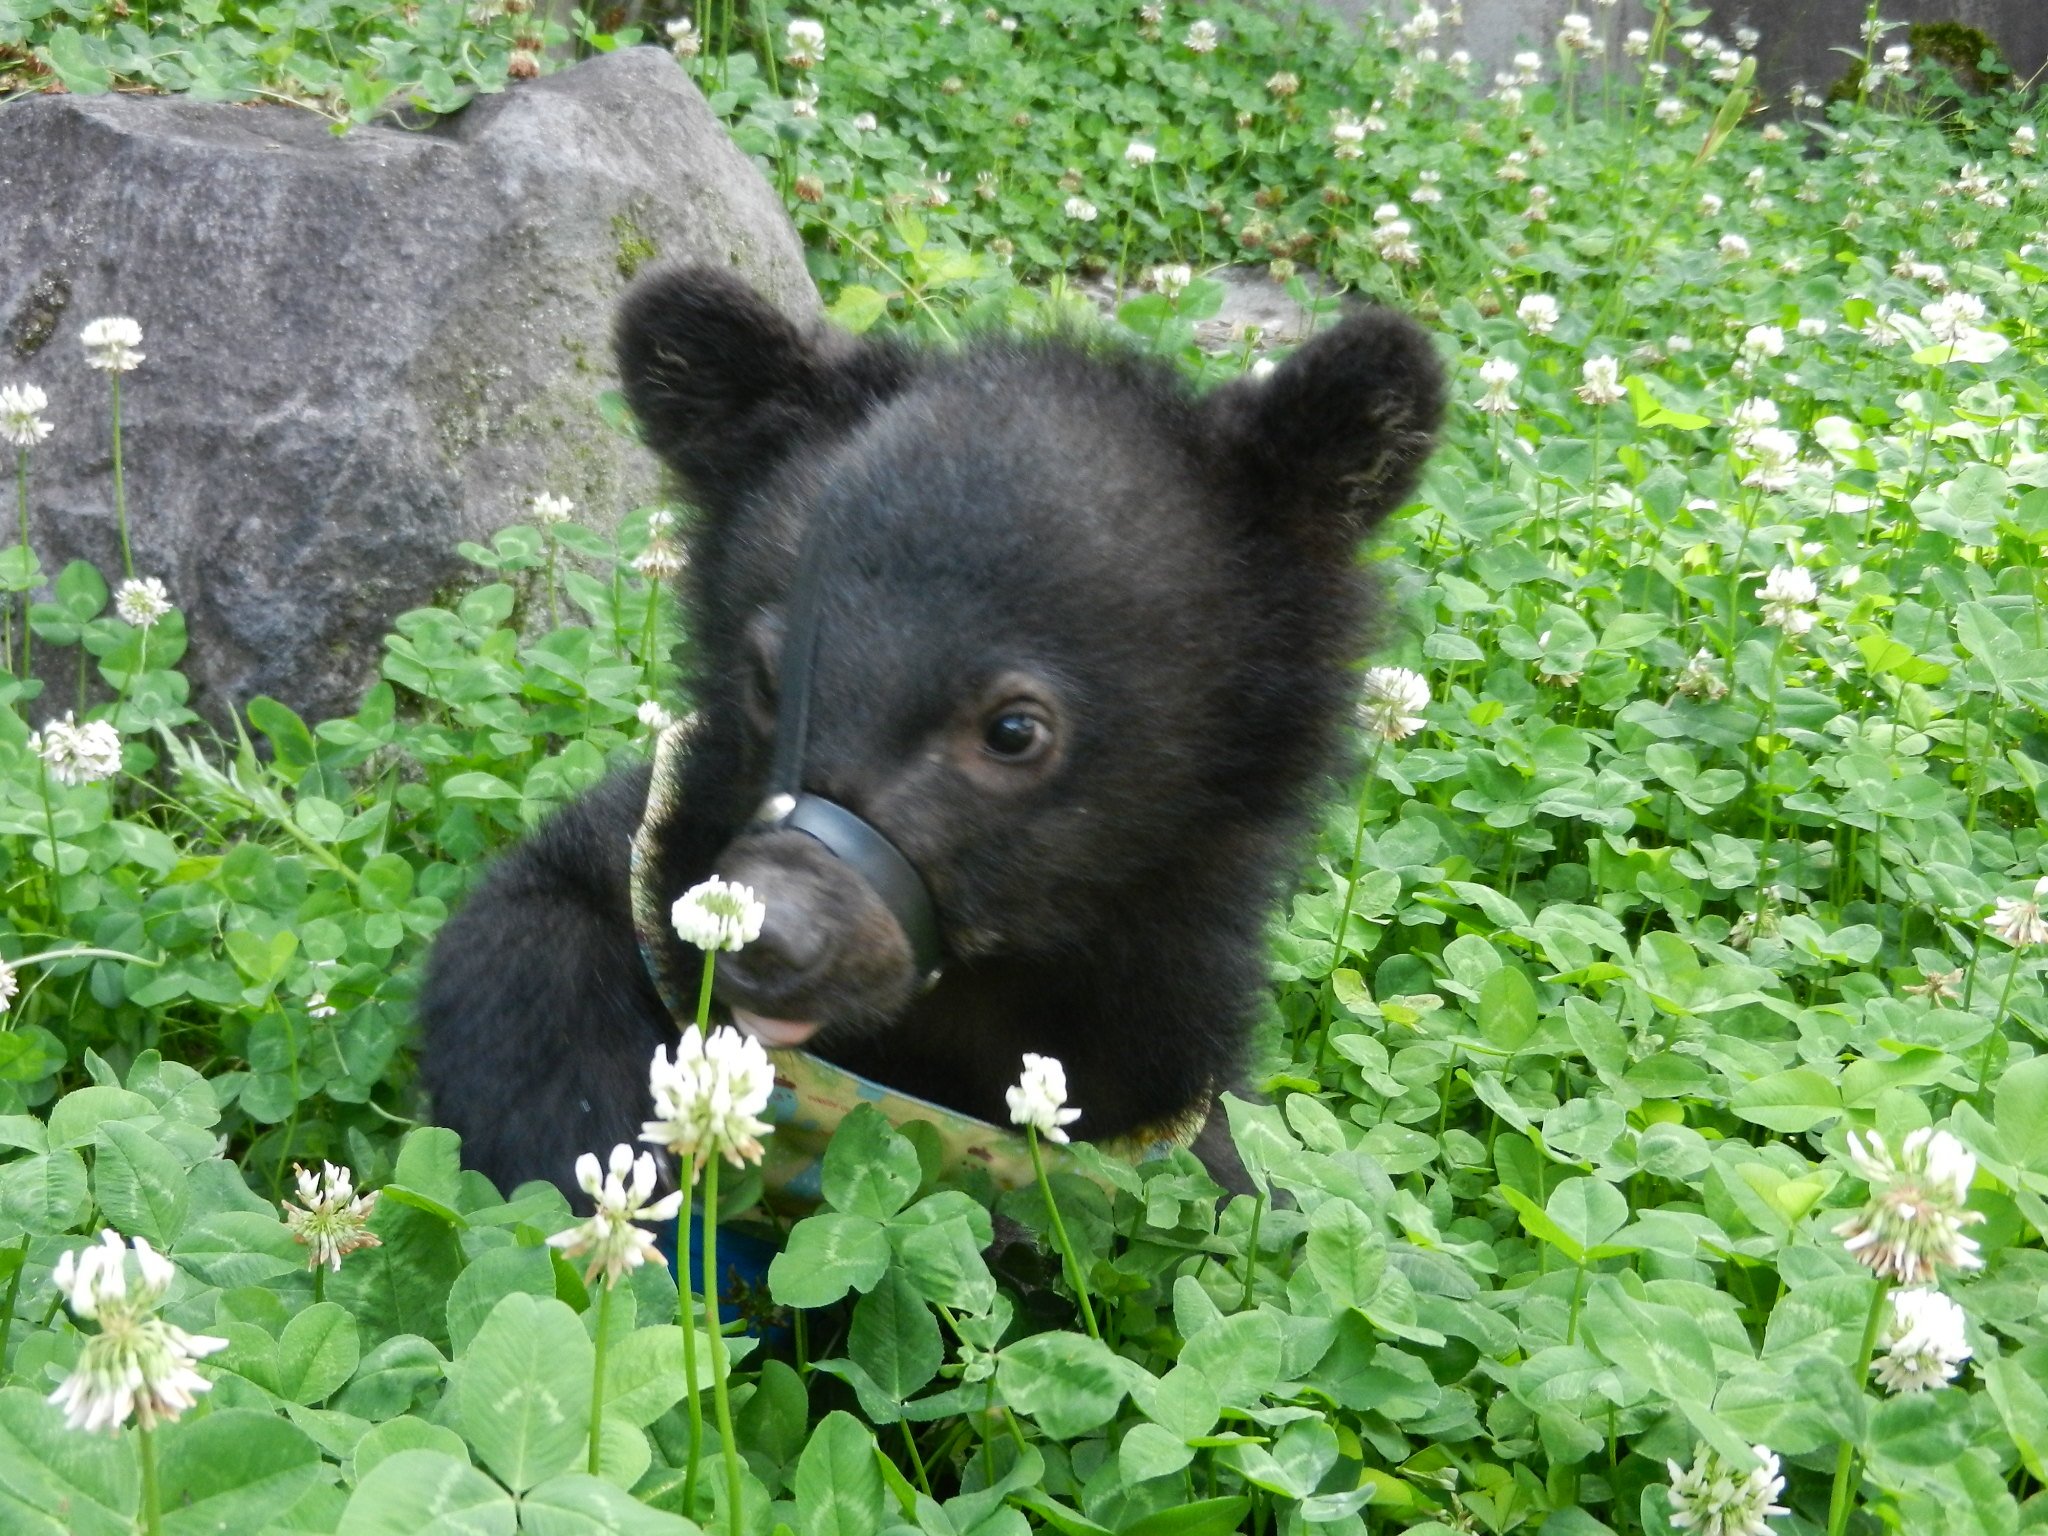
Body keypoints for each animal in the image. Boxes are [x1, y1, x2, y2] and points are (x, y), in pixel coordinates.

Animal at [419, 264, 1444, 1200]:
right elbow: (525, 947)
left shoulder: (1162, 1085)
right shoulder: (640, 857)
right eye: (767, 675)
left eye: (1014, 730)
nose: (768, 932)